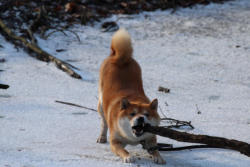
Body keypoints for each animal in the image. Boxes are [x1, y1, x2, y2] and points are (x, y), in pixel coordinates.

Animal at [96, 28, 165, 164]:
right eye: (132, 114)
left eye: (146, 114)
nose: (141, 118)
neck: (133, 138)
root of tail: (119, 57)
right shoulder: (115, 141)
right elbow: (123, 150)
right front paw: (128, 156)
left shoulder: (150, 138)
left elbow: (154, 148)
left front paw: (158, 156)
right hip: (100, 105)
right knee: (104, 122)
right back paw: (102, 136)